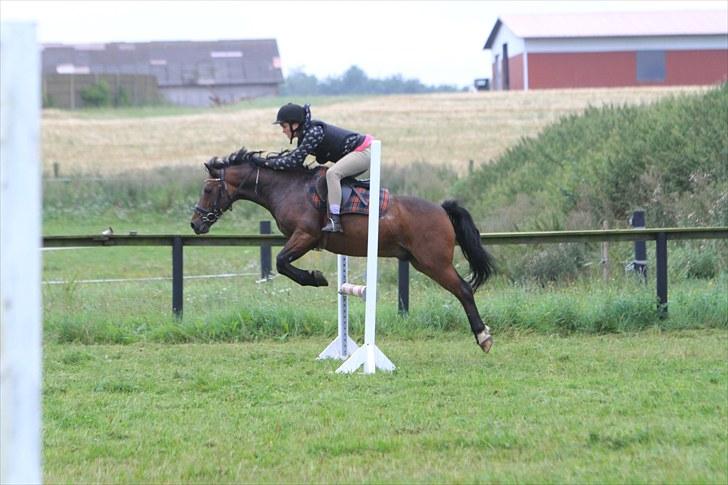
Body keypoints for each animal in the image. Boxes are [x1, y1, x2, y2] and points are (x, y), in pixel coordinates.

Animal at [188, 148, 498, 352]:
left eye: (207, 190)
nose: (195, 224)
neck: (287, 188)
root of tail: (442, 209)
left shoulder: (305, 236)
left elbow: (281, 262)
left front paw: (315, 278)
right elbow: (281, 263)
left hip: (434, 263)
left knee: (464, 290)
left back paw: (483, 337)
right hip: (422, 262)